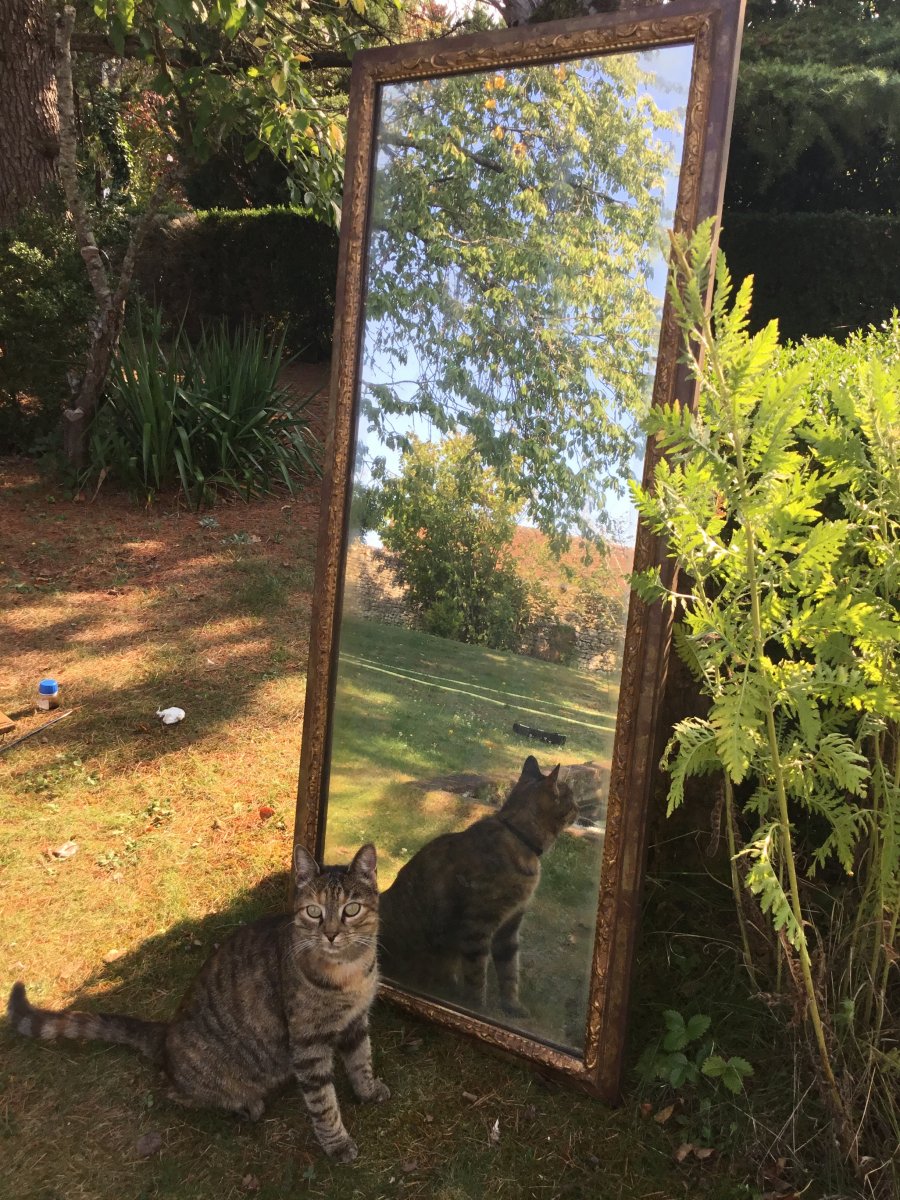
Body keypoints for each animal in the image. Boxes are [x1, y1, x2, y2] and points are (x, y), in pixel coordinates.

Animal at [6, 844, 388, 1161]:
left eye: (351, 909)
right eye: (313, 911)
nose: (331, 933)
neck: (350, 972)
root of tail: (165, 1034)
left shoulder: (357, 1021)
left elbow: (361, 1059)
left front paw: (368, 1090)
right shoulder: (308, 1043)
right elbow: (323, 1103)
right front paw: (336, 1143)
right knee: (178, 1093)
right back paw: (245, 1104)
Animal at [376, 753, 573, 1017]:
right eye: (571, 798)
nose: (579, 808)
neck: (519, 840)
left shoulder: (510, 924)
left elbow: (510, 971)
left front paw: (512, 1006)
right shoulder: (478, 926)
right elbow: (477, 975)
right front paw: (477, 1007)